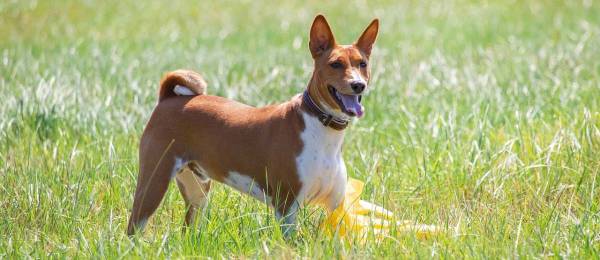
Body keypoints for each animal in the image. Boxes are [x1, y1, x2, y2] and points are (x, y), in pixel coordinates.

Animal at [126, 14, 380, 238]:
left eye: (362, 64)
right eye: (335, 64)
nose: (358, 85)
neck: (322, 129)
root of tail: (168, 99)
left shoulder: (335, 207)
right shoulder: (287, 207)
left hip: (197, 190)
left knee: (187, 229)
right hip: (154, 182)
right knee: (134, 227)